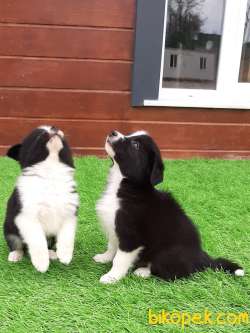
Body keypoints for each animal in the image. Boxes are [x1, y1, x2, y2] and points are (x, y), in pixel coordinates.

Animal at [3, 126, 79, 272]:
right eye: (39, 135)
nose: (54, 128)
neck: (51, 171)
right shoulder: (27, 217)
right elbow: (38, 240)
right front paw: (42, 263)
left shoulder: (69, 213)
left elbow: (67, 236)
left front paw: (65, 255)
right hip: (10, 230)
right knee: (18, 245)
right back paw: (15, 255)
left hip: (51, 237)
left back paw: (52, 253)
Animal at [94, 130, 244, 282]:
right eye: (131, 134)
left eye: (135, 145)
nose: (113, 132)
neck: (123, 185)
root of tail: (203, 258)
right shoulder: (113, 228)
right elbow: (112, 246)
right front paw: (104, 257)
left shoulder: (130, 237)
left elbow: (119, 259)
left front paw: (111, 277)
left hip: (167, 253)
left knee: (172, 273)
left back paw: (143, 271)